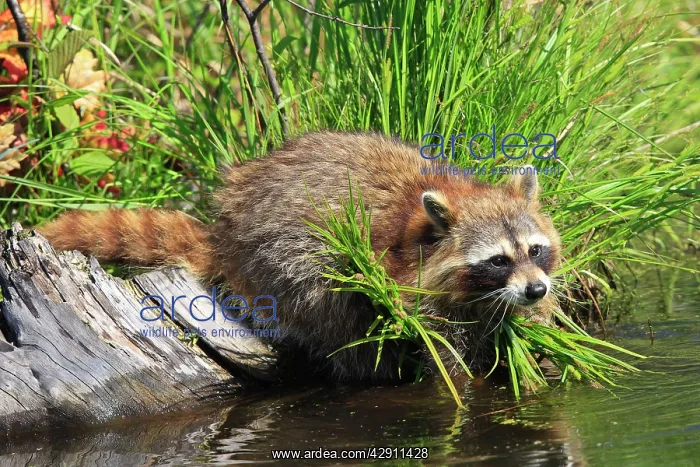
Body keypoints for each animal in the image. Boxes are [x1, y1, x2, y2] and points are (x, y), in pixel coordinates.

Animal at [38, 132, 562, 381]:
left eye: (535, 250)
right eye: (498, 260)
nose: (536, 290)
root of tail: (225, 233)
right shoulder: (410, 284)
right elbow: (442, 352)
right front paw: (457, 380)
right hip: (279, 260)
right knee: (332, 310)